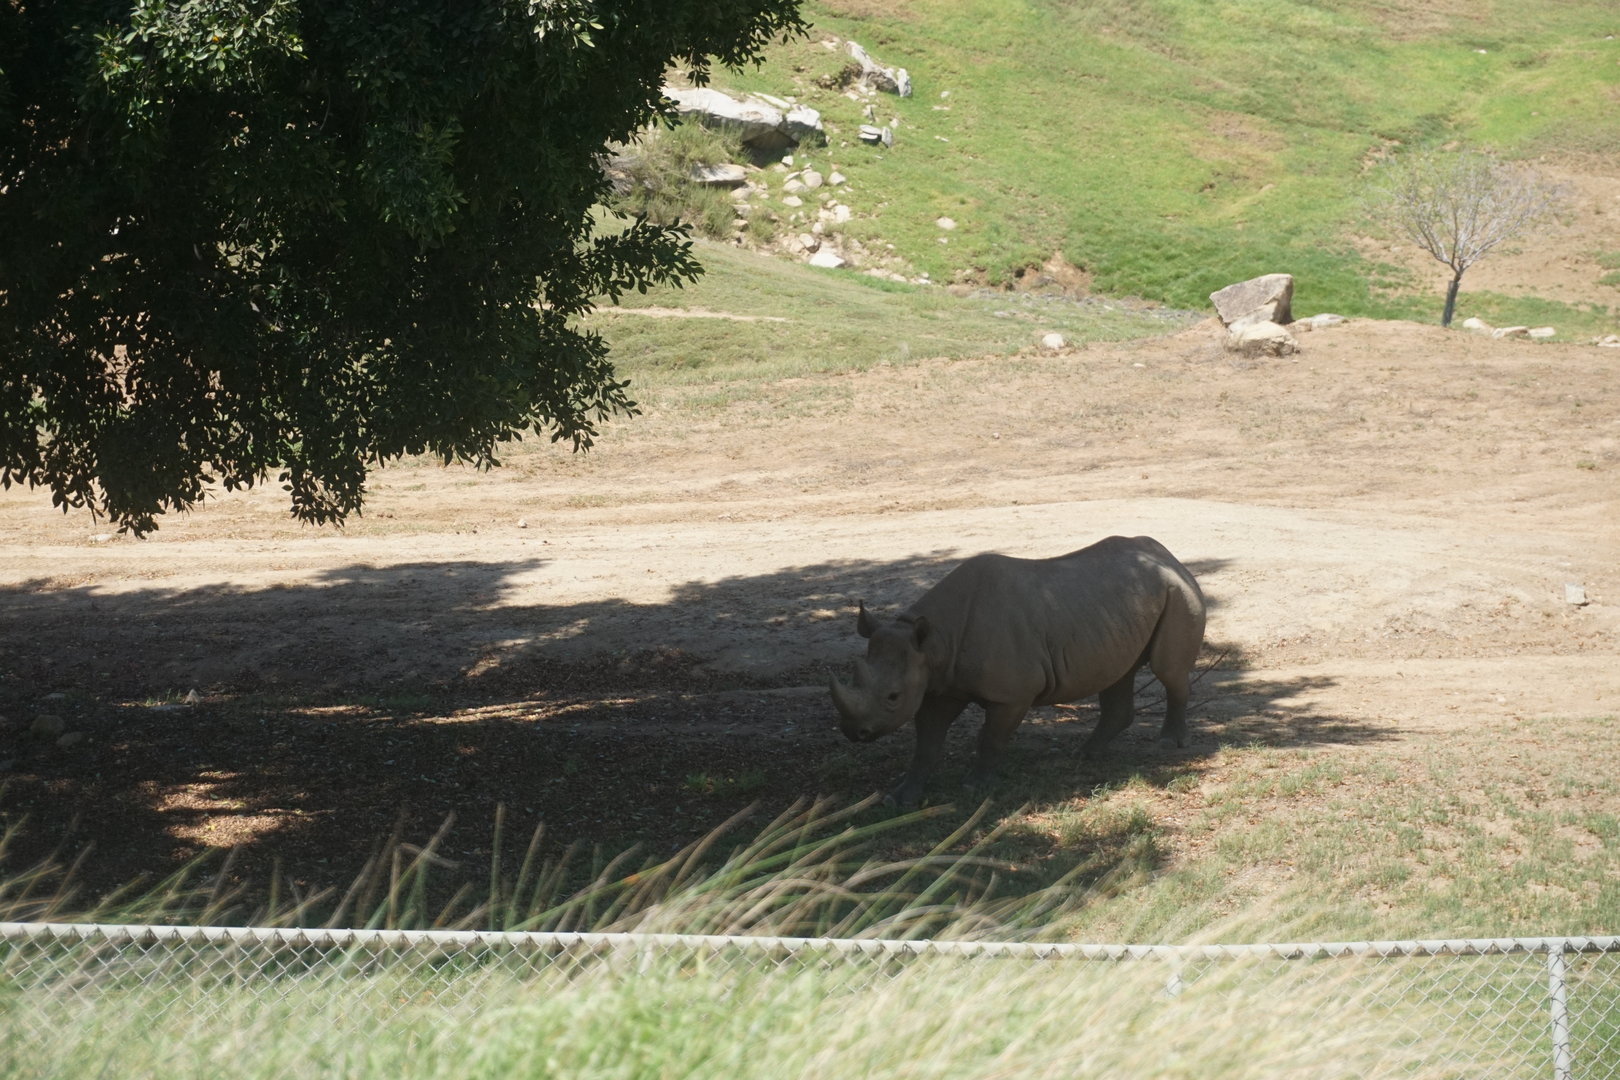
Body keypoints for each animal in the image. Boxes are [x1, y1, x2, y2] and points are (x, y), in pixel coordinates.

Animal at [829, 536, 1206, 807]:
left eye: (893, 697)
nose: (853, 732)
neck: (933, 641)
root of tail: (1171, 558)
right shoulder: (938, 684)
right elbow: (927, 745)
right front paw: (898, 799)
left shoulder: (1011, 695)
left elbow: (991, 739)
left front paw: (975, 786)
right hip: (1122, 610)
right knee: (1117, 674)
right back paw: (1085, 754)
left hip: (1178, 592)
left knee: (1167, 670)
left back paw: (1169, 744)